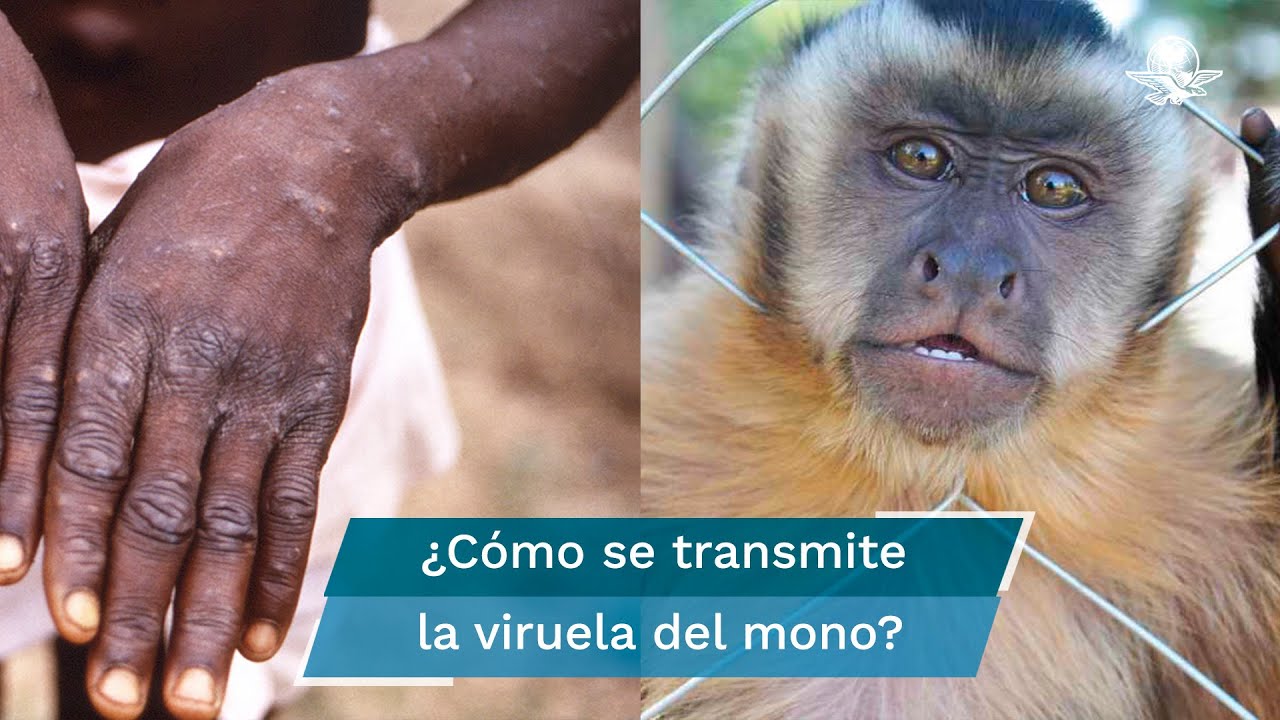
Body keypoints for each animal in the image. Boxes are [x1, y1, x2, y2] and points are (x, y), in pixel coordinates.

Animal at [642, 0, 1280, 717]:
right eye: (920, 157)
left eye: (1053, 187)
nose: (972, 266)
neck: (915, 476)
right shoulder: (665, 395)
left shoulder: (1198, 469)